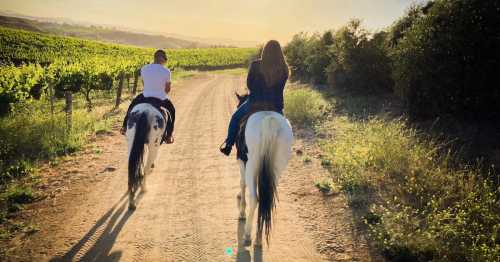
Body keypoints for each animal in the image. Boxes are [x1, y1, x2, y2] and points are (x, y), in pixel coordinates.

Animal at [236, 95, 294, 247]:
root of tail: (269, 121)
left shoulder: (241, 161)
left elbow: (242, 183)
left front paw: (242, 211)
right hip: (276, 168)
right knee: (265, 199)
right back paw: (258, 239)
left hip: (252, 165)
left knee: (255, 198)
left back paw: (247, 235)